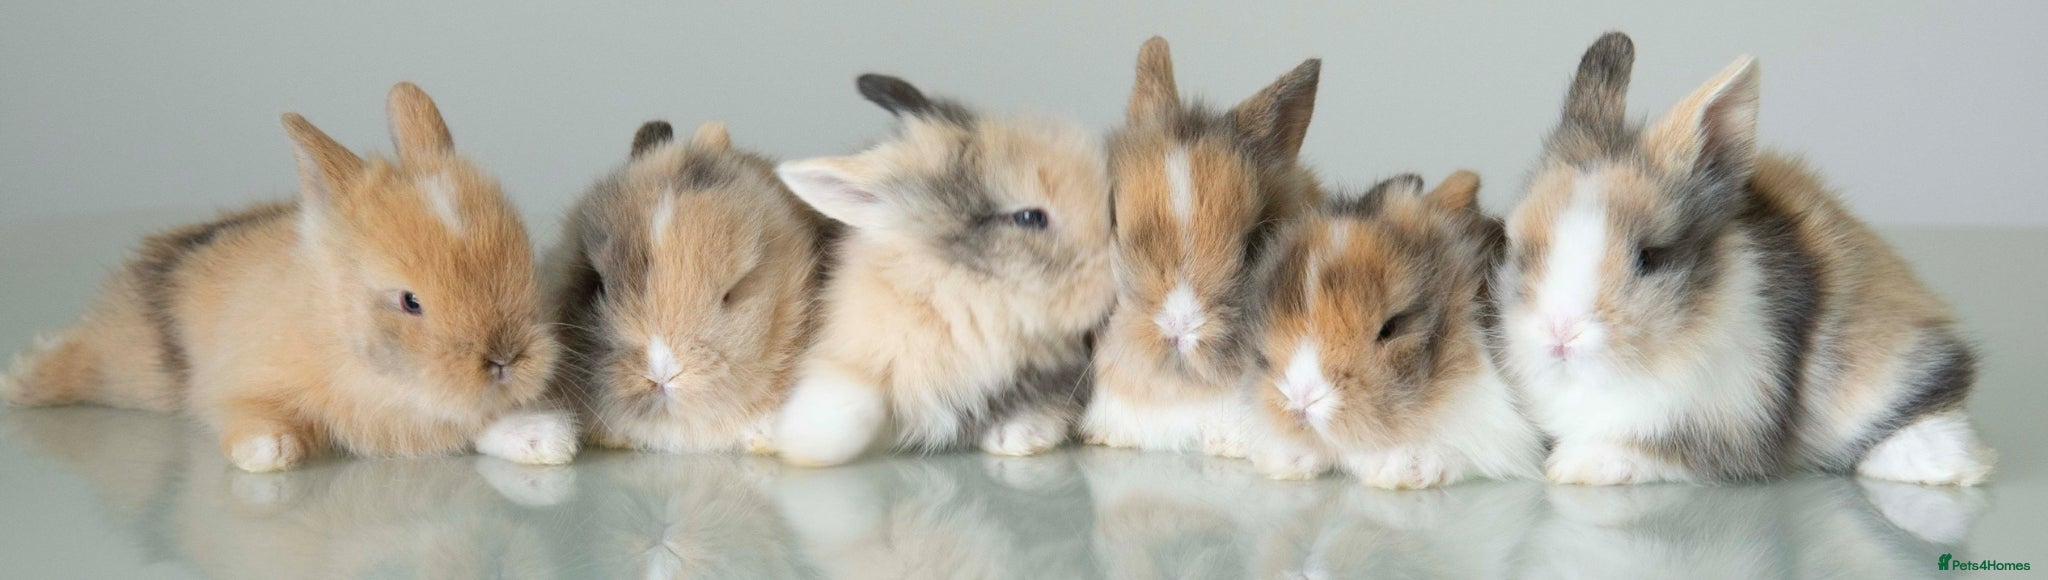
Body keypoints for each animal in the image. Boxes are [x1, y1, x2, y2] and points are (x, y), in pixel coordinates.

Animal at [0, 83, 576, 472]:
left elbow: (477, 424)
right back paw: (20, 375)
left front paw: (547, 440)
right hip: (127, 368)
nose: (506, 361)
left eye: (524, 261)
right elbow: (248, 414)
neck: (337, 332)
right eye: (410, 301)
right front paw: (268, 451)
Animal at [771, 73, 1116, 466]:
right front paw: (803, 443)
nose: (1111, 279)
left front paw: (1020, 438)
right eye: (1030, 217)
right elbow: (853, 407)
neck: (963, 293)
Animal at [1496, 32, 1994, 486]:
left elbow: (1662, 449)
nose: (1560, 334)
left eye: (1649, 258)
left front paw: (1574, 466)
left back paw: (1945, 468)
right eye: (1519, 249)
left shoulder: (1727, 418)